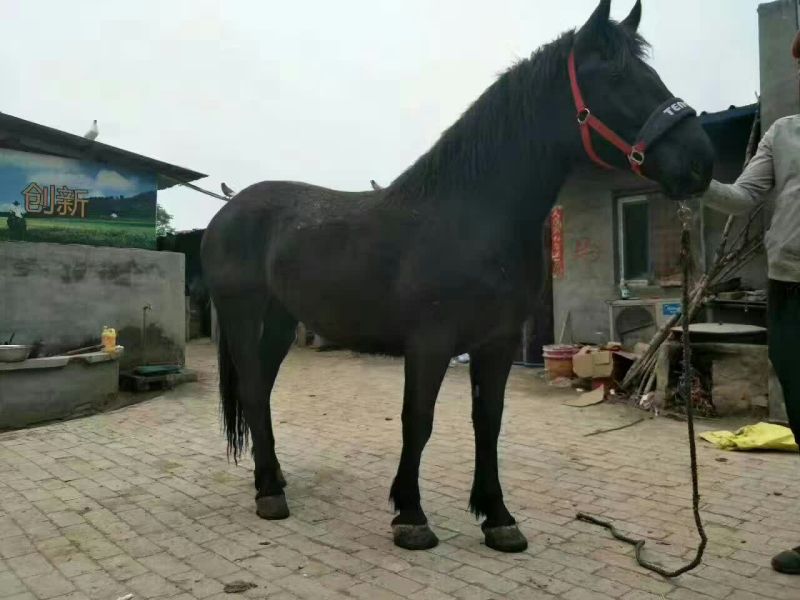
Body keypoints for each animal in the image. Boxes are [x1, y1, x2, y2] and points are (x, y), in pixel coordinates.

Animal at [201, 0, 714, 554]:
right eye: (619, 78)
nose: (700, 161)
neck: (470, 216)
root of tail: (226, 213)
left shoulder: (498, 342)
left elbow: (487, 422)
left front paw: (497, 517)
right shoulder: (430, 342)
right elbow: (418, 421)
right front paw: (410, 515)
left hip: (278, 320)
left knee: (262, 392)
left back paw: (272, 478)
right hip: (243, 316)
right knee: (254, 391)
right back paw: (270, 493)